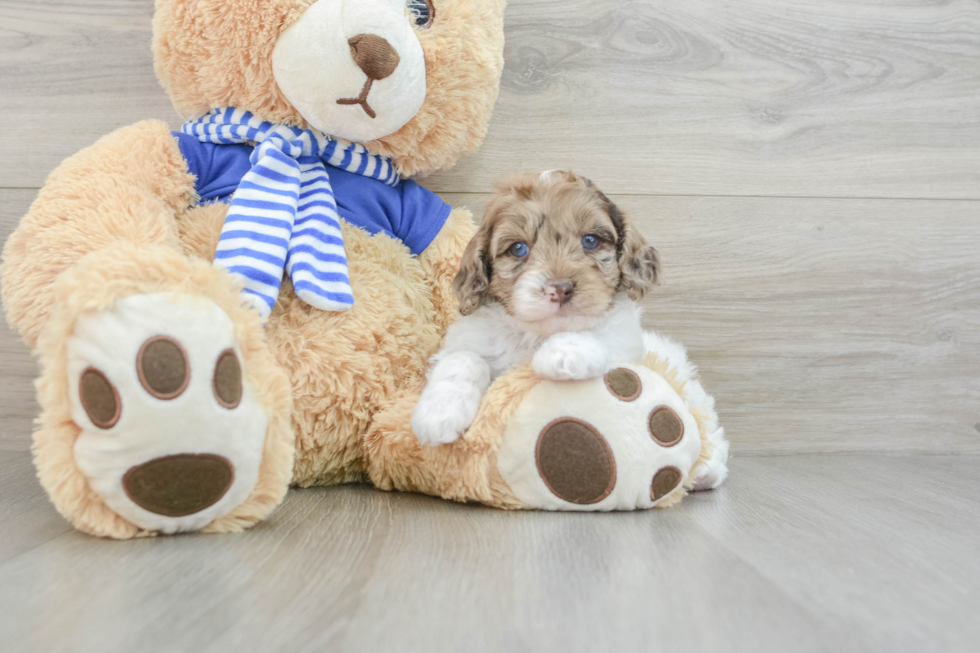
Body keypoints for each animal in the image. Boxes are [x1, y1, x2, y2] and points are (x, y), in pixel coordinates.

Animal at [408, 171, 660, 446]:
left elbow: (604, 339)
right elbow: (463, 358)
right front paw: (440, 413)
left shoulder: (627, 344)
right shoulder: (465, 339)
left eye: (591, 241)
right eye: (518, 248)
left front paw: (566, 351)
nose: (560, 289)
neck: (538, 333)